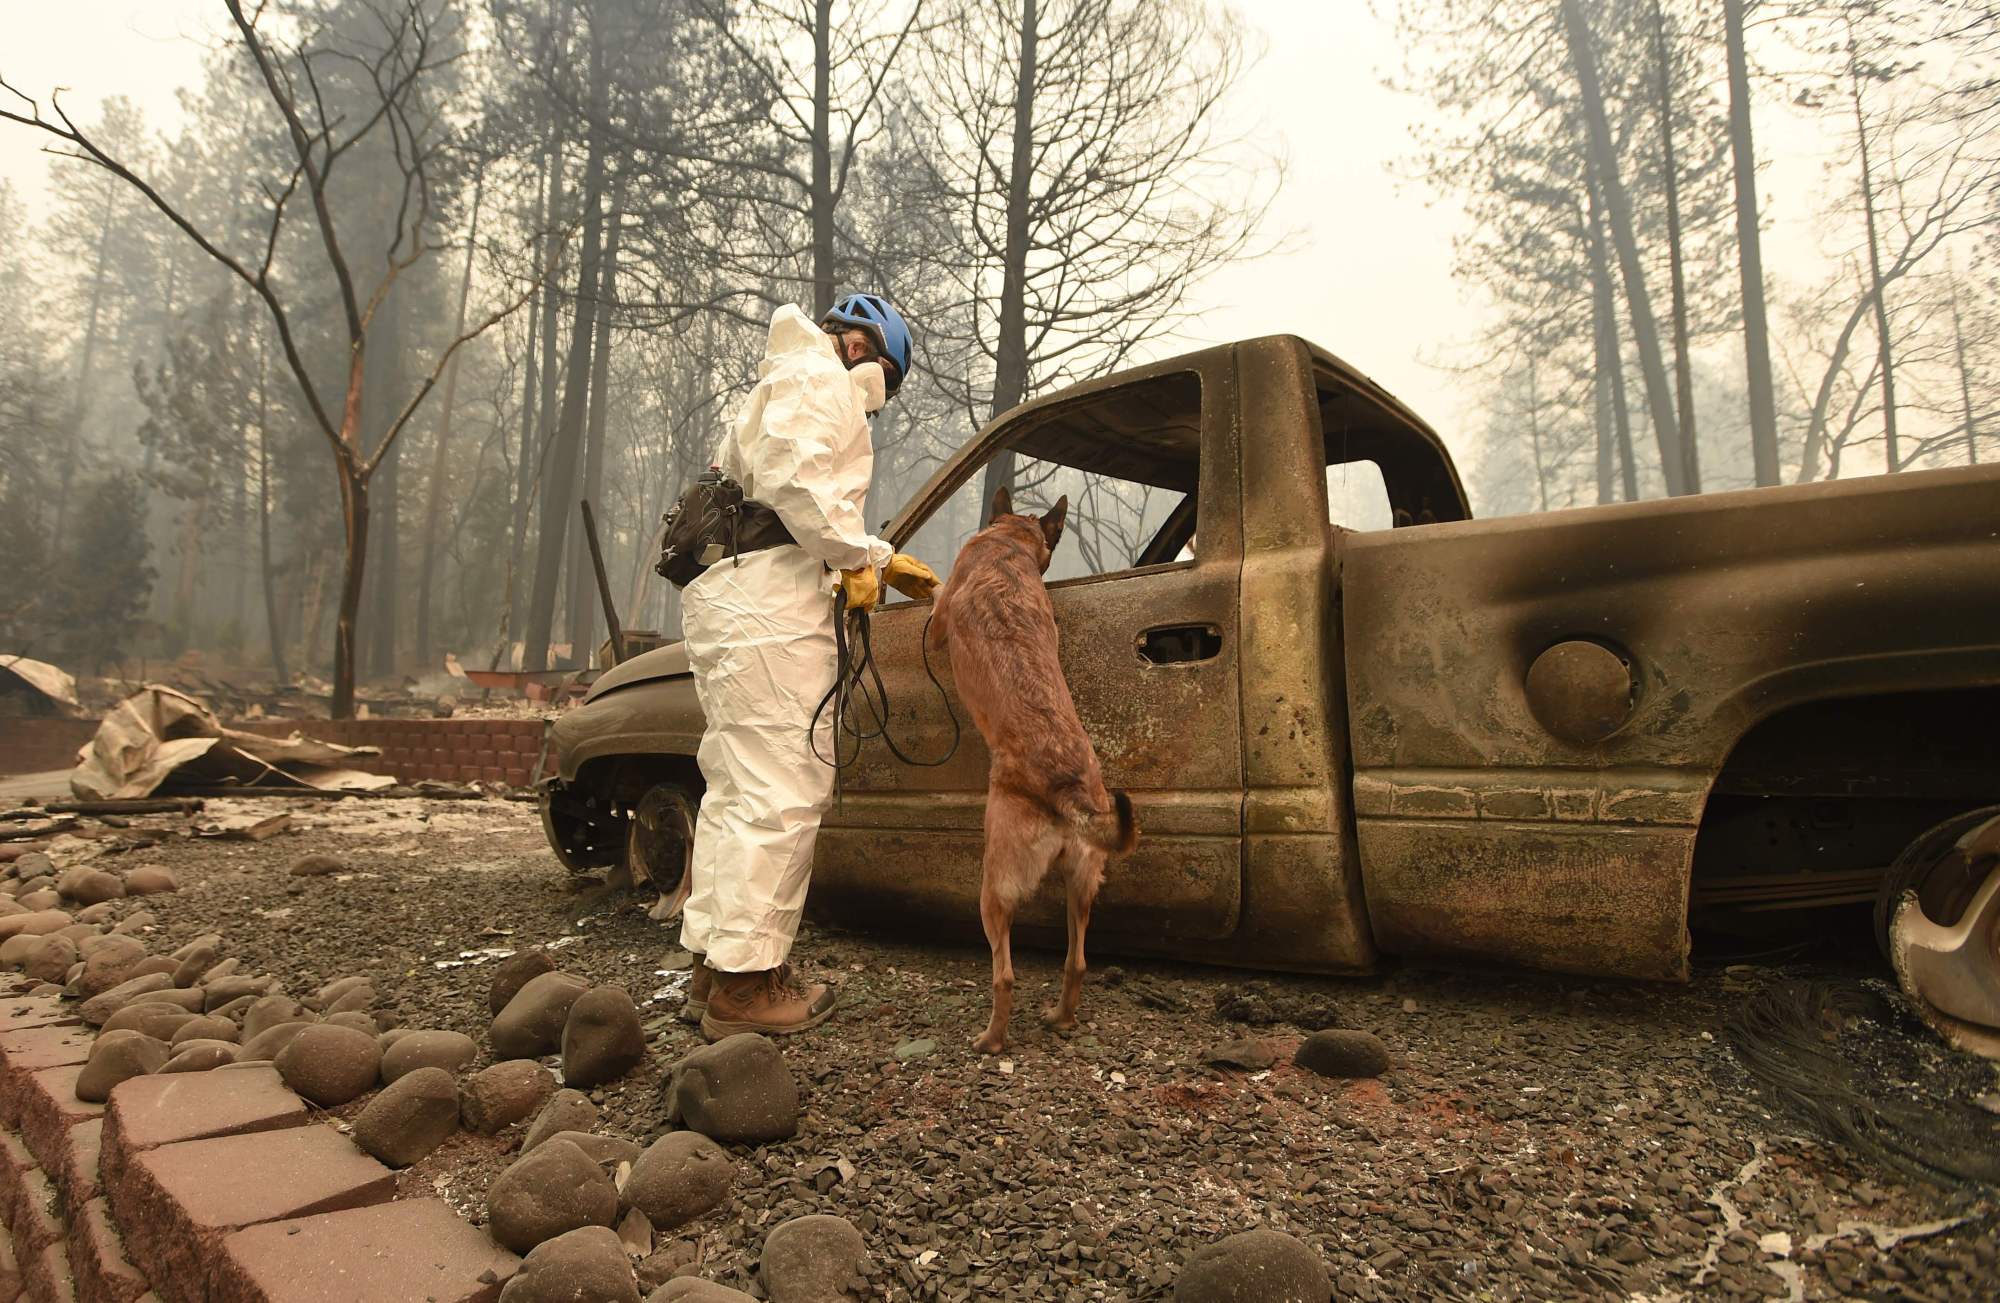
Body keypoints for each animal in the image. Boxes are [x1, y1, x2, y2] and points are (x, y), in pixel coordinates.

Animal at [924, 483, 1136, 1055]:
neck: (1009, 547)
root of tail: (1067, 789)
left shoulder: (939, 622)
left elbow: (936, 602)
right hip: (1081, 884)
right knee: (1077, 961)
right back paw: (1061, 1017)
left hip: (994, 889)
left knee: (1005, 975)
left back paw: (991, 1040)